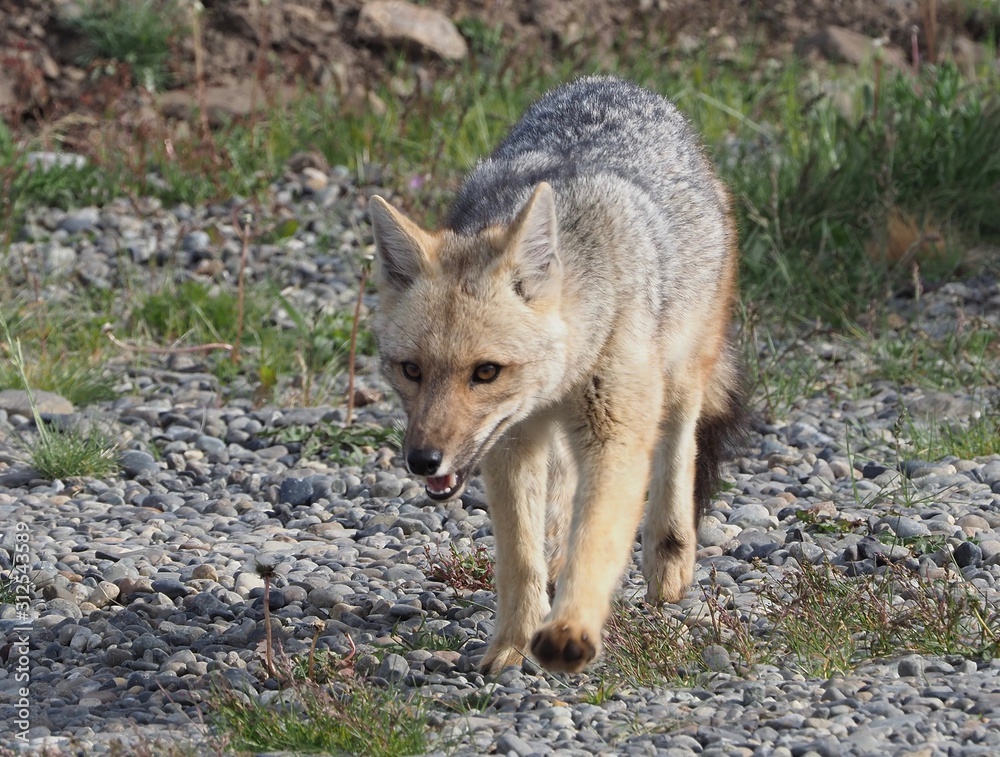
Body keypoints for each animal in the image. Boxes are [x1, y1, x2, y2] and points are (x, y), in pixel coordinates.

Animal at [369, 76, 746, 674]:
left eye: (486, 372)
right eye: (411, 370)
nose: (423, 460)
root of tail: (613, 83)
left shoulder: (615, 437)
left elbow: (597, 541)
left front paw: (570, 631)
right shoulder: (511, 444)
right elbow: (520, 558)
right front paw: (511, 644)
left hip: (681, 381)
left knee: (678, 453)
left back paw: (668, 559)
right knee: (559, 504)